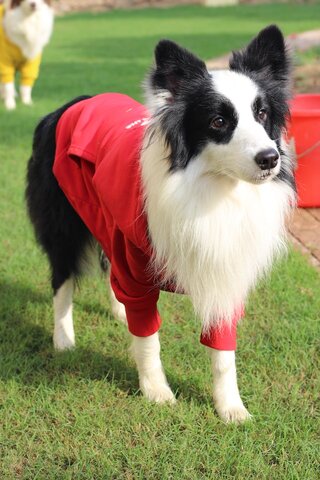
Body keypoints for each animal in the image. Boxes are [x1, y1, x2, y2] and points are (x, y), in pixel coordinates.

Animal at [25, 27, 296, 424]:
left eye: (262, 113)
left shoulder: (226, 268)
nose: (270, 158)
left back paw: (118, 311)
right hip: (63, 221)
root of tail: (70, 105)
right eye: (218, 121)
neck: (215, 191)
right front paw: (156, 392)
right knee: (62, 277)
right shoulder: (137, 264)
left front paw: (230, 407)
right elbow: (148, 338)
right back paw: (63, 339)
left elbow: (222, 351)